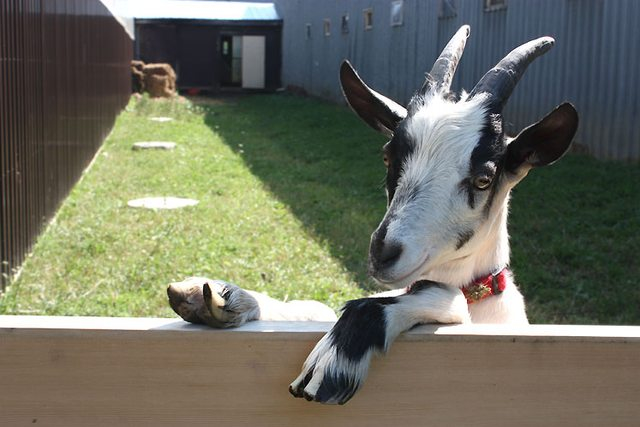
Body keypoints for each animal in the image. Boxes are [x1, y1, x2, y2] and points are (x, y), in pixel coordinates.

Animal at [168, 25, 576, 406]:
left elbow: (448, 298)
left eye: (483, 179)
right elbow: (313, 307)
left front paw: (335, 358)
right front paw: (219, 296)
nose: (383, 253)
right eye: (386, 156)